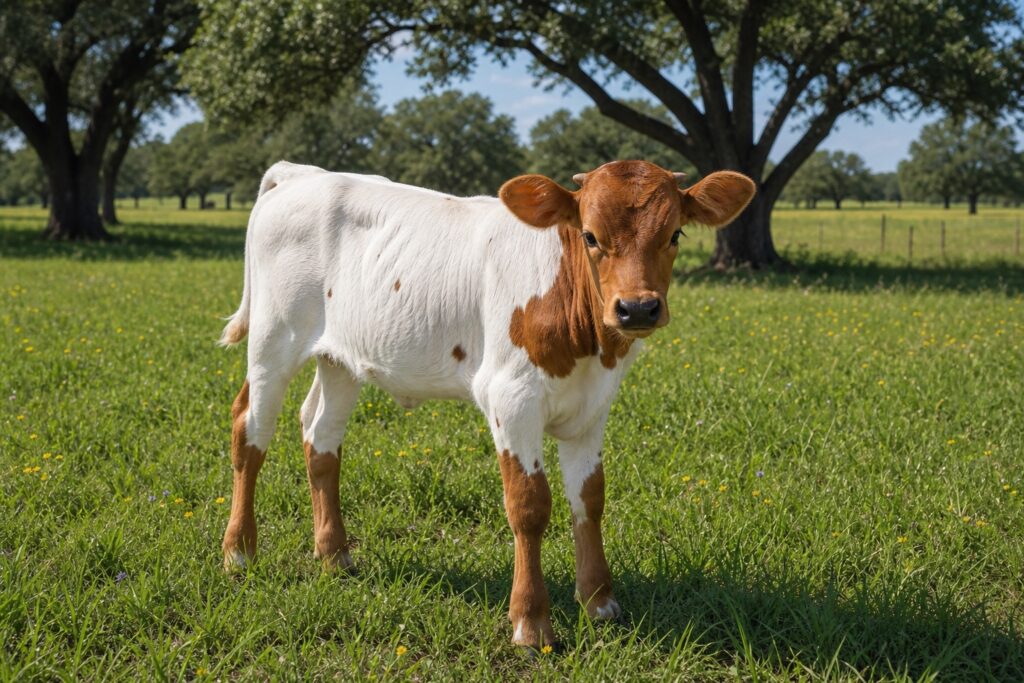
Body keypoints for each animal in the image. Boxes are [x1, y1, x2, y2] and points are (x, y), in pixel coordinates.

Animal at [219, 159, 755, 649]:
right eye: (590, 235)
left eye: (675, 233)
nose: (637, 308)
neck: (588, 345)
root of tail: (304, 173)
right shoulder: (512, 398)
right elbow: (529, 505)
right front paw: (531, 623)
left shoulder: (593, 407)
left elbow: (590, 498)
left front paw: (599, 601)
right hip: (273, 339)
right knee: (251, 430)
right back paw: (239, 553)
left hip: (342, 358)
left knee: (321, 437)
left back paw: (334, 555)